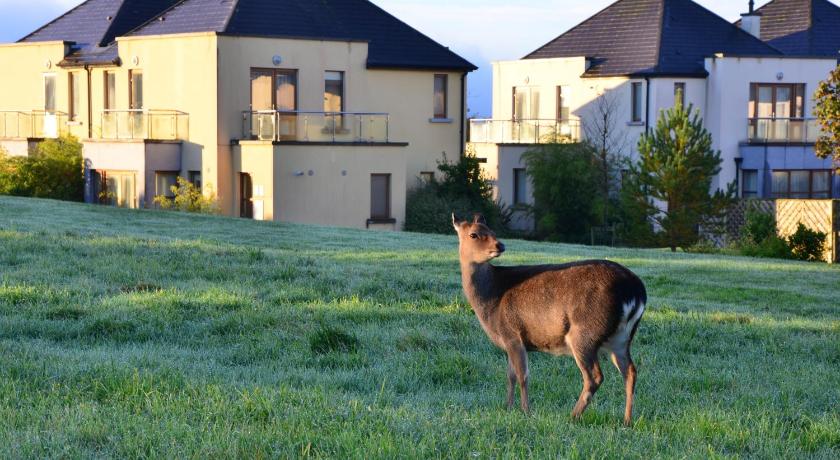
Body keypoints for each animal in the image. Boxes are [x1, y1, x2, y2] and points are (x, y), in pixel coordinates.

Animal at [456, 214, 648, 426]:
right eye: (474, 234)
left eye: (491, 231)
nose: (500, 245)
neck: (491, 300)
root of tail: (636, 291)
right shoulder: (509, 342)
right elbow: (510, 375)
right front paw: (508, 407)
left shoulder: (512, 333)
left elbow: (522, 375)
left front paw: (526, 411)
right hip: (621, 338)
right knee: (630, 371)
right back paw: (627, 420)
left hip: (584, 333)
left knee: (594, 376)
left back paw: (573, 416)